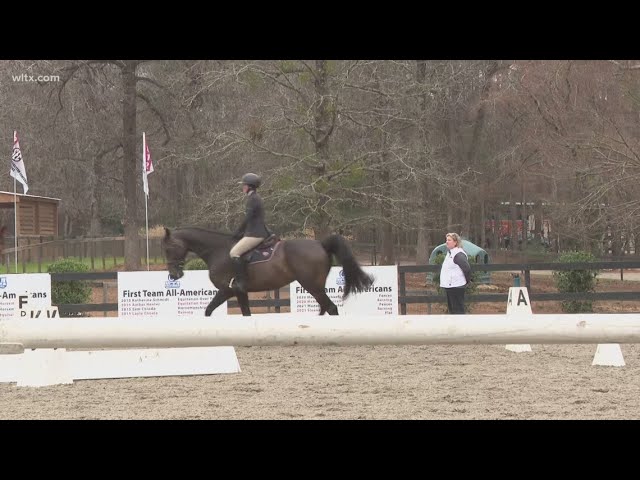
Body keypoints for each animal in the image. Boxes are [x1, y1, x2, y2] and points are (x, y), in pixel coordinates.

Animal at [161, 227, 376, 316]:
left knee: (330, 308)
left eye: (169, 248)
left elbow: (209, 310)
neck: (217, 250)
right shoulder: (238, 292)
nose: (174, 275)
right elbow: (243, 313)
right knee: (325, 308)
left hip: (312, 285)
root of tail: (321, 244)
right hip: (314, 287)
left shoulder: (228, 290)